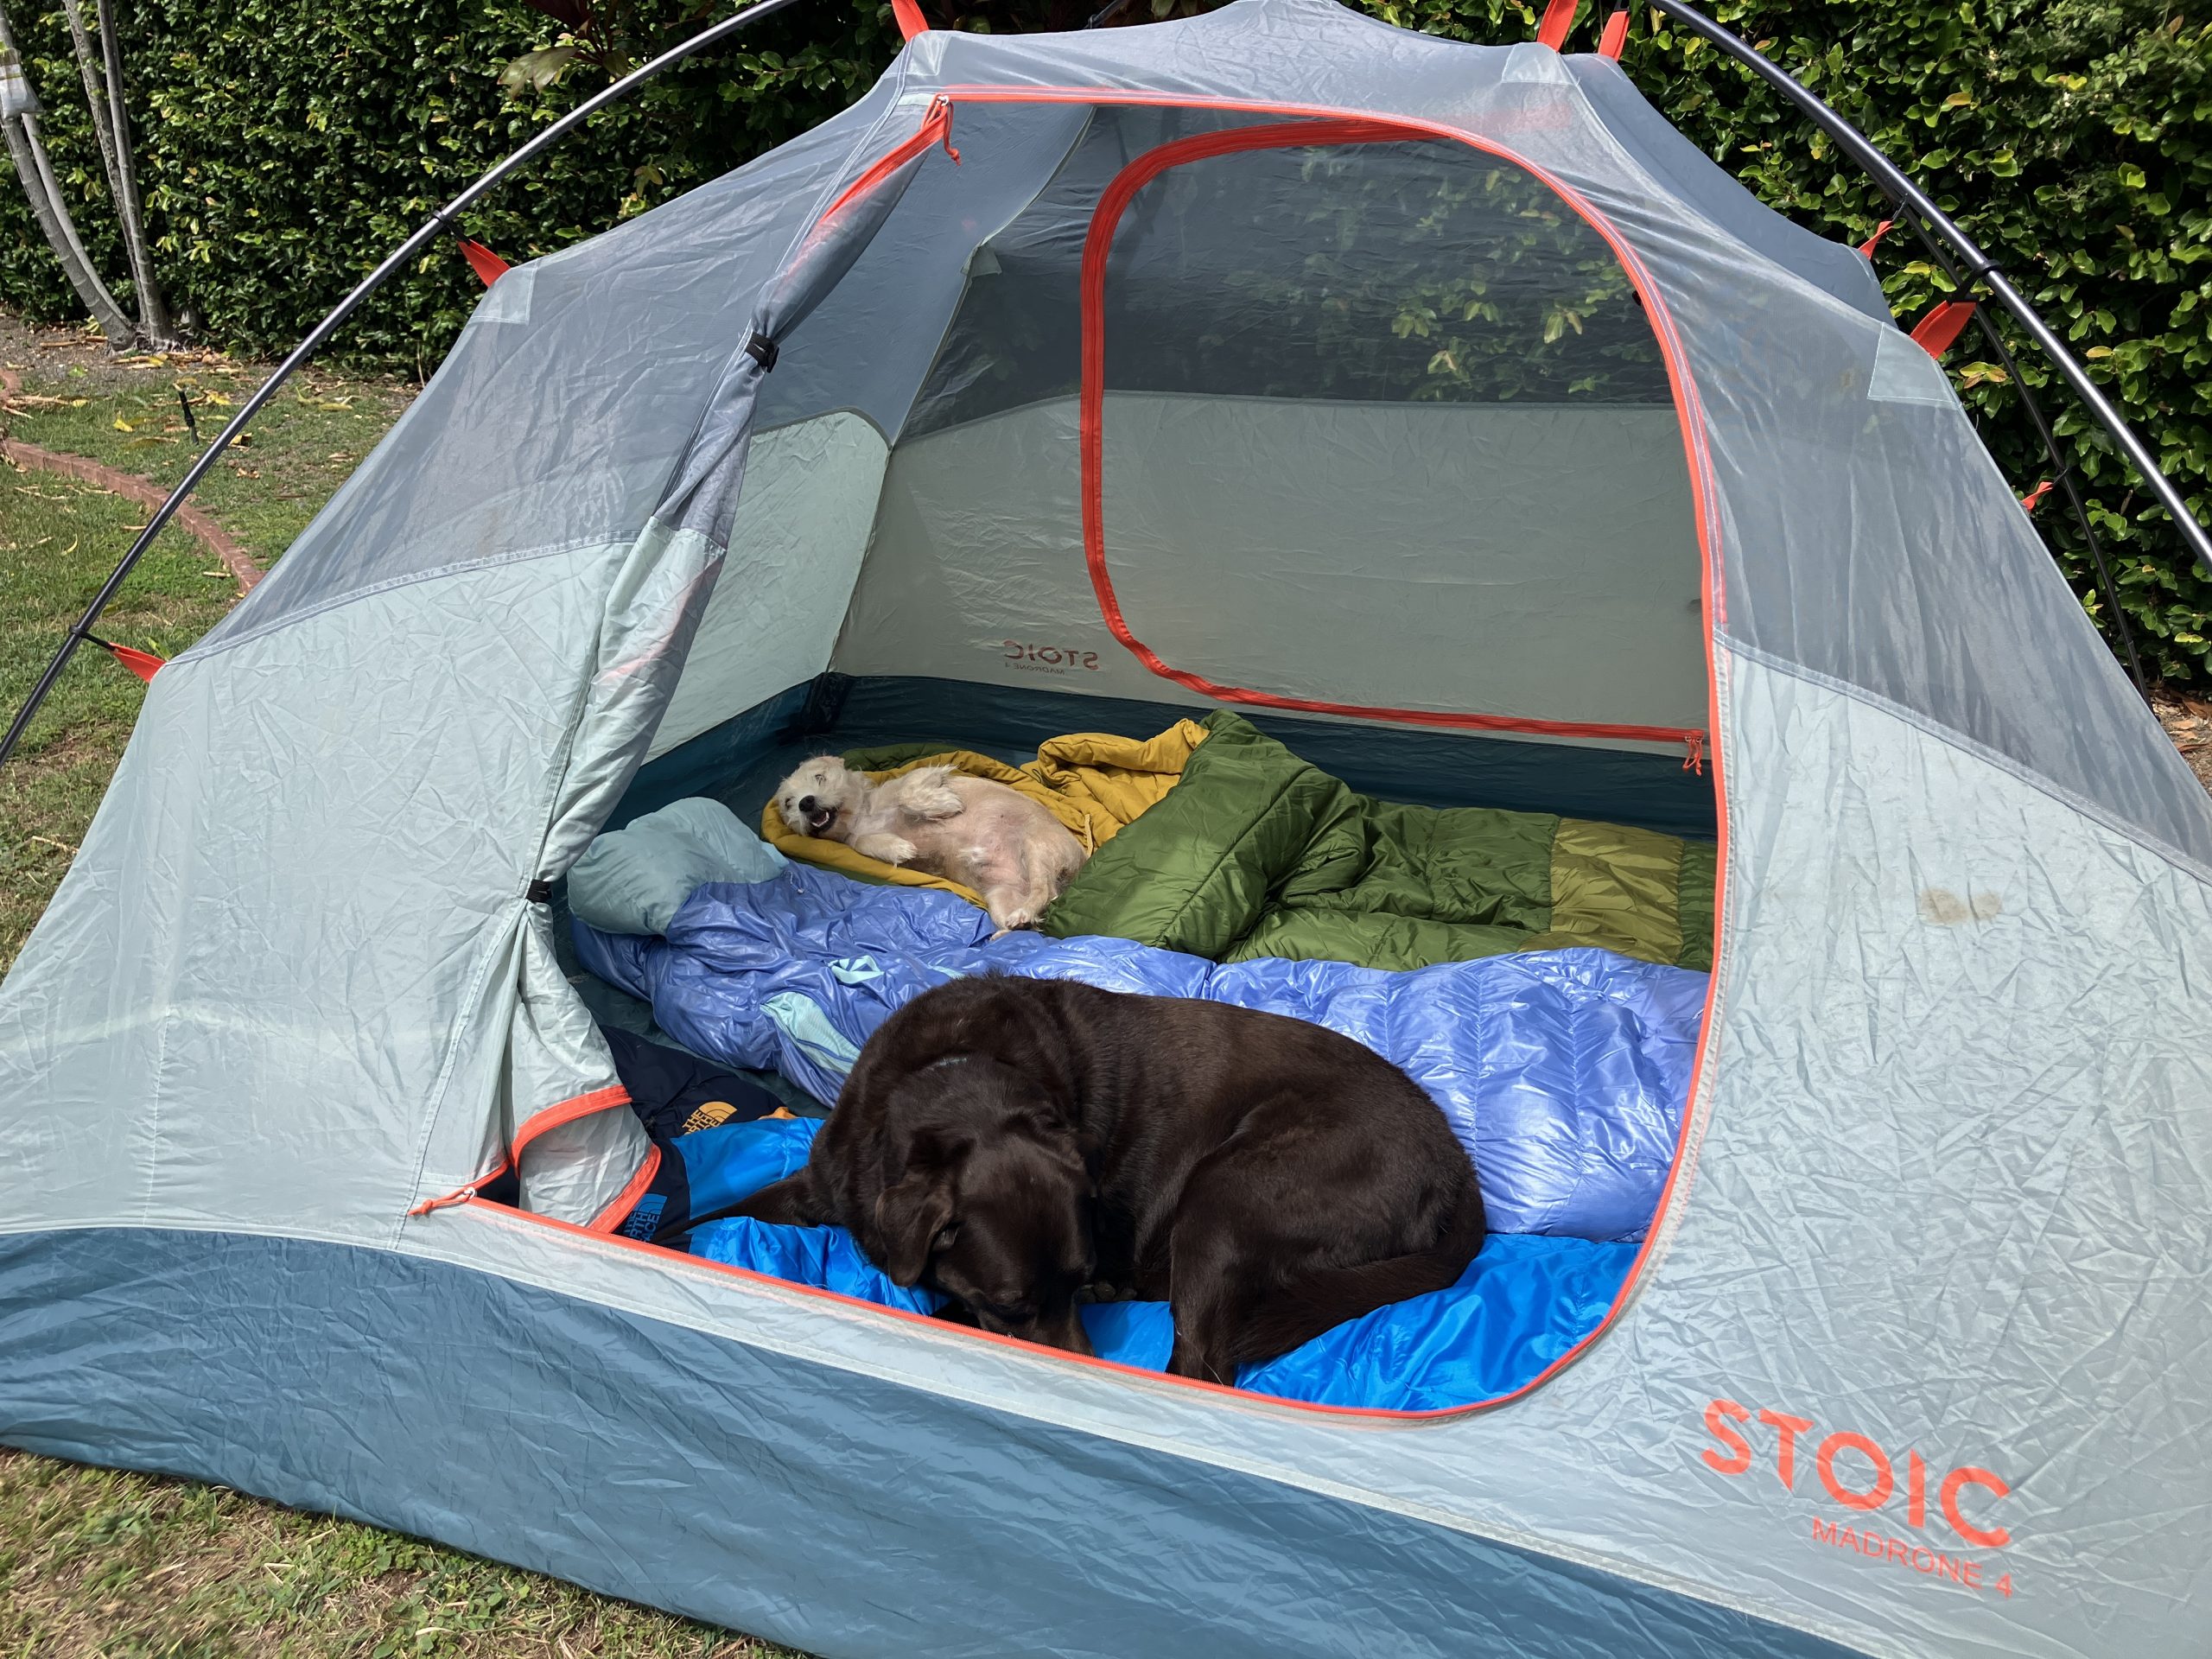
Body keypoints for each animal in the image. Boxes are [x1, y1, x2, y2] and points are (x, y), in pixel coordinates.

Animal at [725, 982, 1486, 1380]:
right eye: (1010, 1303)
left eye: (1076, 1274)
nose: (1080, 1367)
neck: (950, 1072)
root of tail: (1456, 1160)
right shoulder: (824, 1183)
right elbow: (719, 1210)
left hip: (1227, 1197)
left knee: (1200, 1367)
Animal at [779, 765, 1088, 938]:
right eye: (788, 803)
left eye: (820, 777)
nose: (806, 802)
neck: (863, 814)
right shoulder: (857, 839)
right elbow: (864, 843)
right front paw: (899, 849)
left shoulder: (921, 776)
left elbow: (908, 793)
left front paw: (946, 805)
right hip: (1001, 896)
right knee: (1035, 913)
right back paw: (1015, 927)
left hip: (1035, 844)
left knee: (1044, 891)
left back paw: (1023, 915)